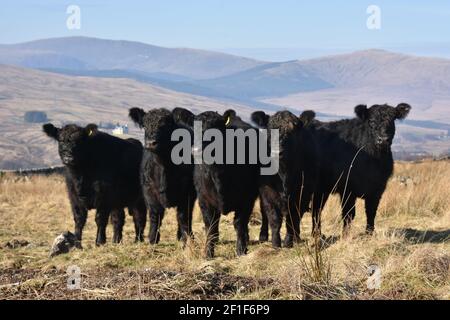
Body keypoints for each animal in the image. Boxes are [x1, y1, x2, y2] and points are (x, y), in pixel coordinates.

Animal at [127, 106, 196, 244]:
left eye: (164, 125)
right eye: (145, 125)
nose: (150, 143)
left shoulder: (187, 194)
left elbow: (184, 216)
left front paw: (187, 238)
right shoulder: (149, 191)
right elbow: (156, 214)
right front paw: (153, 238)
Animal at [251, 110, 318, 248]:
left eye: (291, 132)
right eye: (269, 131)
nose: (277, 152)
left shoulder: (303, 194)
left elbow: (293, 219)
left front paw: (288, 242)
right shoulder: (267, 192)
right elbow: (274, 218)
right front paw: (276, 242)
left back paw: (297, 238)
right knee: (264, 213)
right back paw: (263, 236)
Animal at [302, 103, 412, 235]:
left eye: (392, 120)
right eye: (371, 121)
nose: (383, 139)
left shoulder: (377, 189)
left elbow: (371, 212)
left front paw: (369, 234)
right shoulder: (347, 189)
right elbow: (348, 214)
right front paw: (345, 235)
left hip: (321, 189)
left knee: (316, 209)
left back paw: (317, 234)